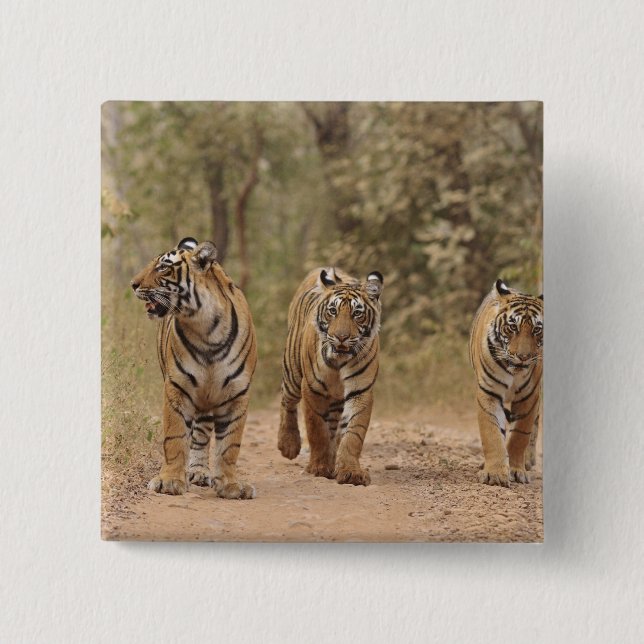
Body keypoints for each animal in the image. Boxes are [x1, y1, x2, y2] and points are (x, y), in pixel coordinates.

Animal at [130, 237, 257, 499]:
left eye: (162, 267)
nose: (133, 284)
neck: (206, 329)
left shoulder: (237, 394)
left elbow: (230, 445)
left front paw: (230, 484)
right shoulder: (177, 387)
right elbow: (175, 436)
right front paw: (169, 481)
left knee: (201, 435)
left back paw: (199, 471)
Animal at [278, 267, 384, 486]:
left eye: (357, 313)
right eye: (333, 311)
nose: (341, 337)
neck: (339, 363)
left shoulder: (360, 392)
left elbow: (352, 434)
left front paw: (350, 472)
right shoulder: (312, 390)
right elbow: (317, 430)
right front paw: (319, 467)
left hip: (335, 400)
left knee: (335, 428)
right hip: (292, 373)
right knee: (286, 401)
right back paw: (288, 444)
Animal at [469, 279, 543, 487]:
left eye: (537, 329)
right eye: (513, 327)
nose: (523, 357)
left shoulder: (529, 397)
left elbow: (520, 435)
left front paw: (516, 471)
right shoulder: (489, 392)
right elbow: (492, 433)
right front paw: (494, 473)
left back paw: (528, 461)